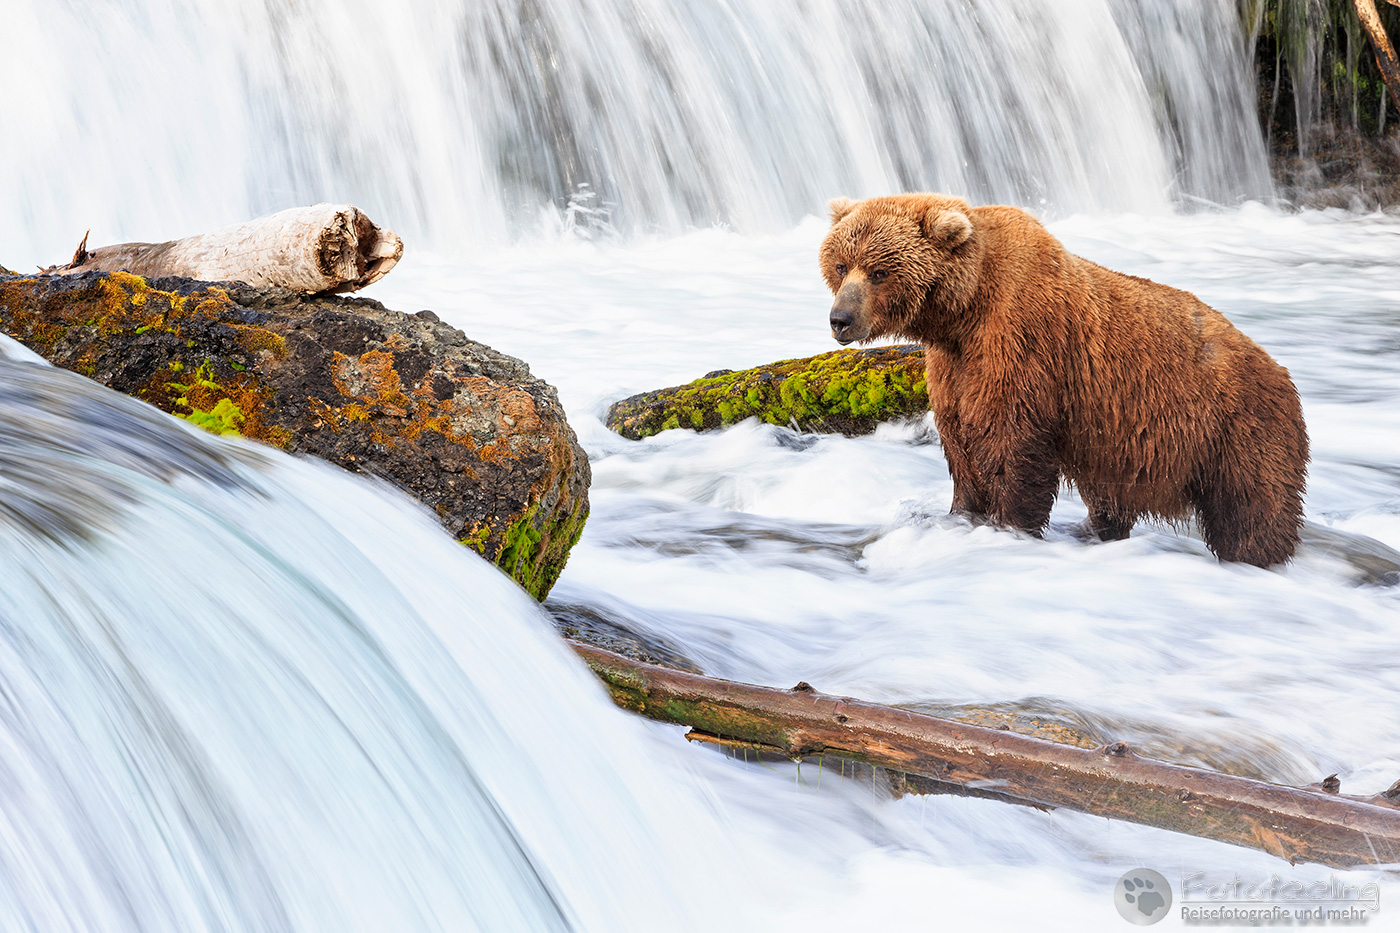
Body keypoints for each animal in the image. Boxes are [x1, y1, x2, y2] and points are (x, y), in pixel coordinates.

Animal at [819, 193, 1308, 567]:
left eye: (879, 271)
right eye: (842, 265)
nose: (840, 319)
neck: (964, 312)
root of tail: (1280, 370)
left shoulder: (1020, 345)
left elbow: (1012, 444)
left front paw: (1008, 525)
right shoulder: (953, 368)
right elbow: (961, 446)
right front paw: (961, 515)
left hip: (1237, 431)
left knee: (1252, 509)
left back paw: (1255, 557)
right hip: (1123, 448)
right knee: (1111, 499)